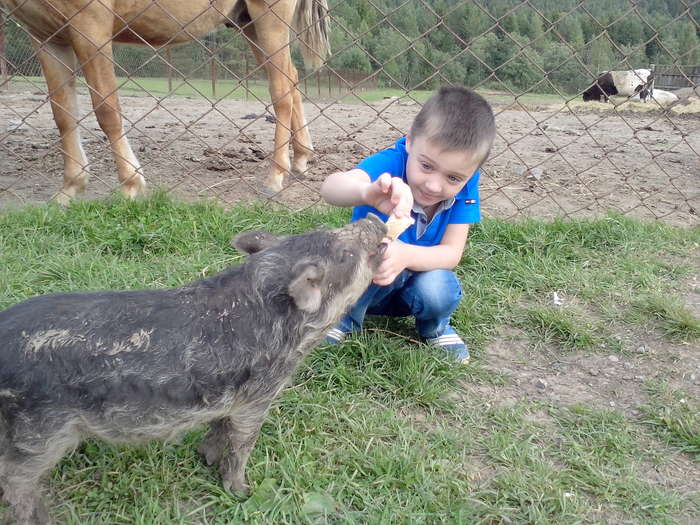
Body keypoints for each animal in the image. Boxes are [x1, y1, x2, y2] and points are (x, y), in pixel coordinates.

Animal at [1, 0, 330, 203]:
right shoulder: (46, 36)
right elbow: (63, 113)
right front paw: (70, 189)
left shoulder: (90, 29)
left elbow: (106, 109)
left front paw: (131, 185)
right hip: (247, 23)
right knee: (291, 79)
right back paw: (301, 158)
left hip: (269, 18)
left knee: (281, 90)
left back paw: (276, 176)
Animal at [1, 214, 388, 524]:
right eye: (345, 255)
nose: (373, 218)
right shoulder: (258, 398)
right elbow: (242, 443)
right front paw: (241, 492)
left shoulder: (226, 399)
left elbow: (219, 429)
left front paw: (206, 458)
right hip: (38, 434)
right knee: (15, 482)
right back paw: (41, 518)